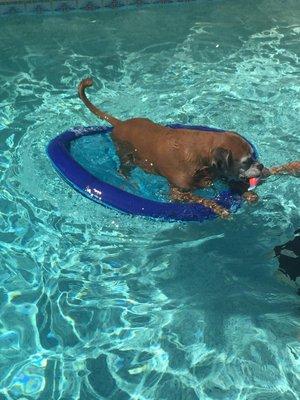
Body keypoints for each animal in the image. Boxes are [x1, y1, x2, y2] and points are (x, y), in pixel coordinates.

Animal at [78, 77, 300, 219]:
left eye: (254, 157)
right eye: (246, 161)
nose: (260, 165)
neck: (201, 159)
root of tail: (120, 123)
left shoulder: (220, 174)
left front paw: (247, 192)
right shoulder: (178, 194)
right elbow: (204, 200)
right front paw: (220, 209)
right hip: (126, 157)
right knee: (123, 169)